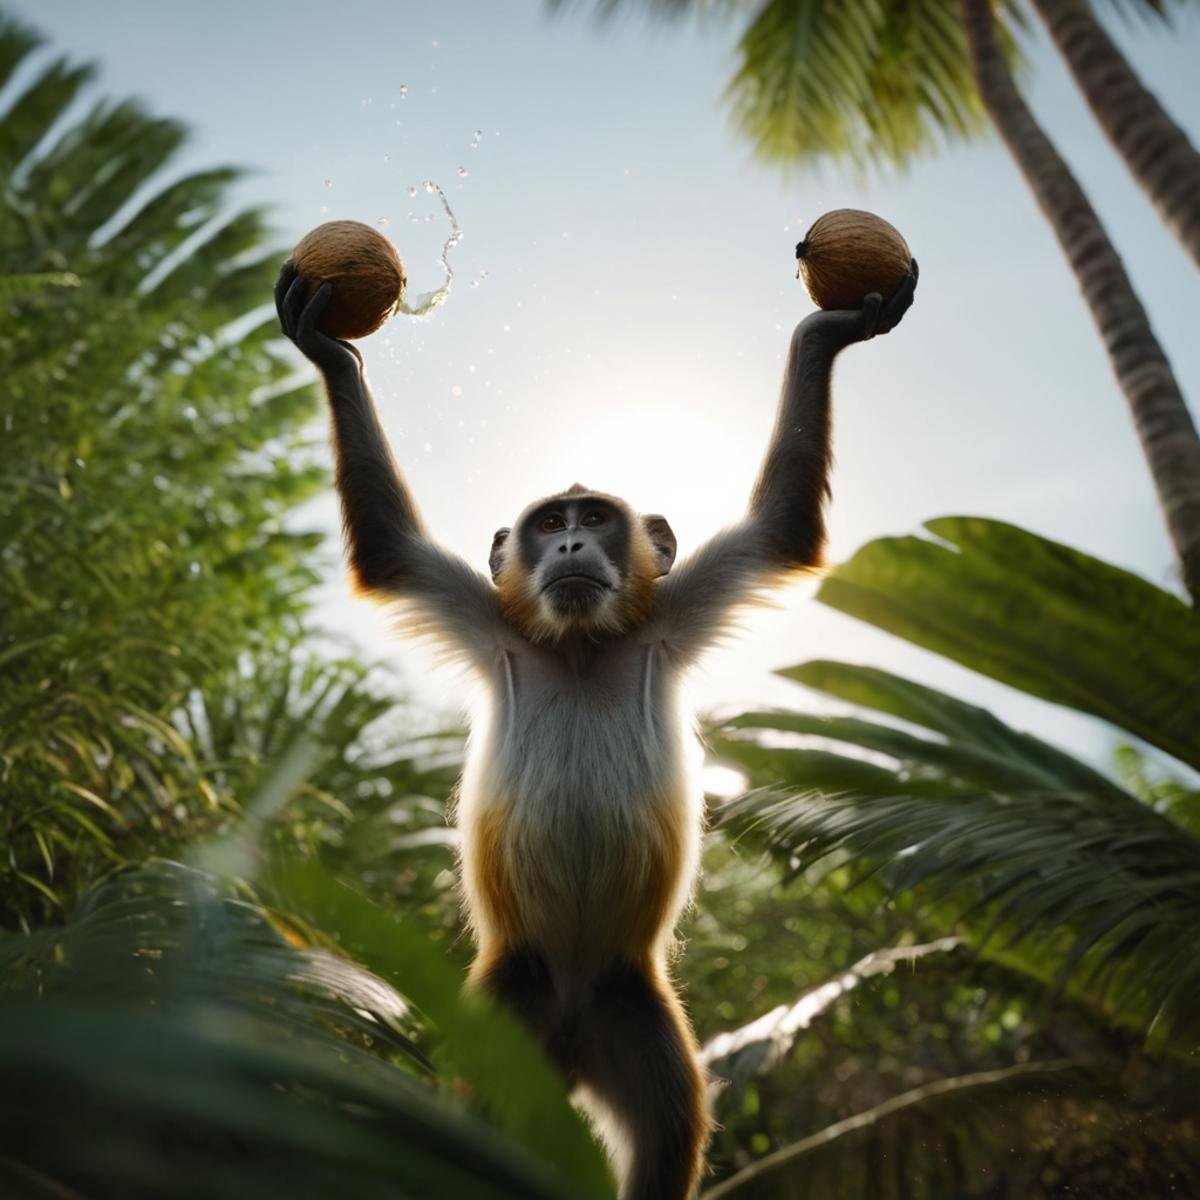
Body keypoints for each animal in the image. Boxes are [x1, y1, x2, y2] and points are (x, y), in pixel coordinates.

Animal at [275, 258, 917, 1200]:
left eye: (594, 519)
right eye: (550, 524)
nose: (572, 546)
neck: (578, 650)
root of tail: (571, 1027)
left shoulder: (664, 618)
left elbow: (778, 531)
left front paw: (828, 330)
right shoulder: (499, 626)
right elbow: (392, 549)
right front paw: (327, 348)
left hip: (631, 1010)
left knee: (666, 1136)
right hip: (509, 1010)